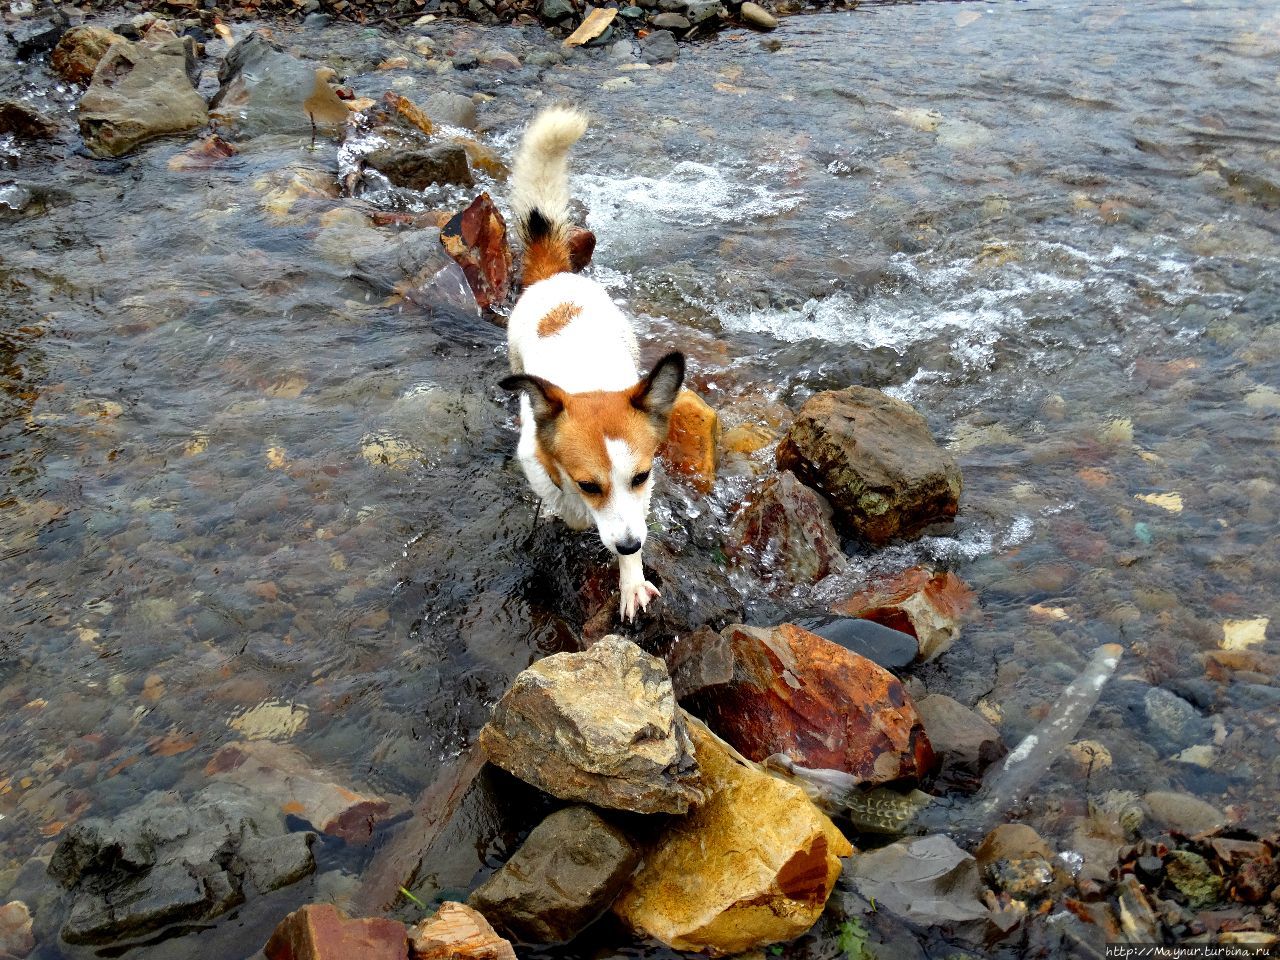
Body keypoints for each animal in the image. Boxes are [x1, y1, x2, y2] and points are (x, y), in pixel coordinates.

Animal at [499, 108, 686, 624]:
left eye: (639, 477)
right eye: (589, 483)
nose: (629, 546)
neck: (588, 381)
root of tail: (555, 275)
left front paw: (631, 580)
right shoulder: (538, 462)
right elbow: (561, 502)